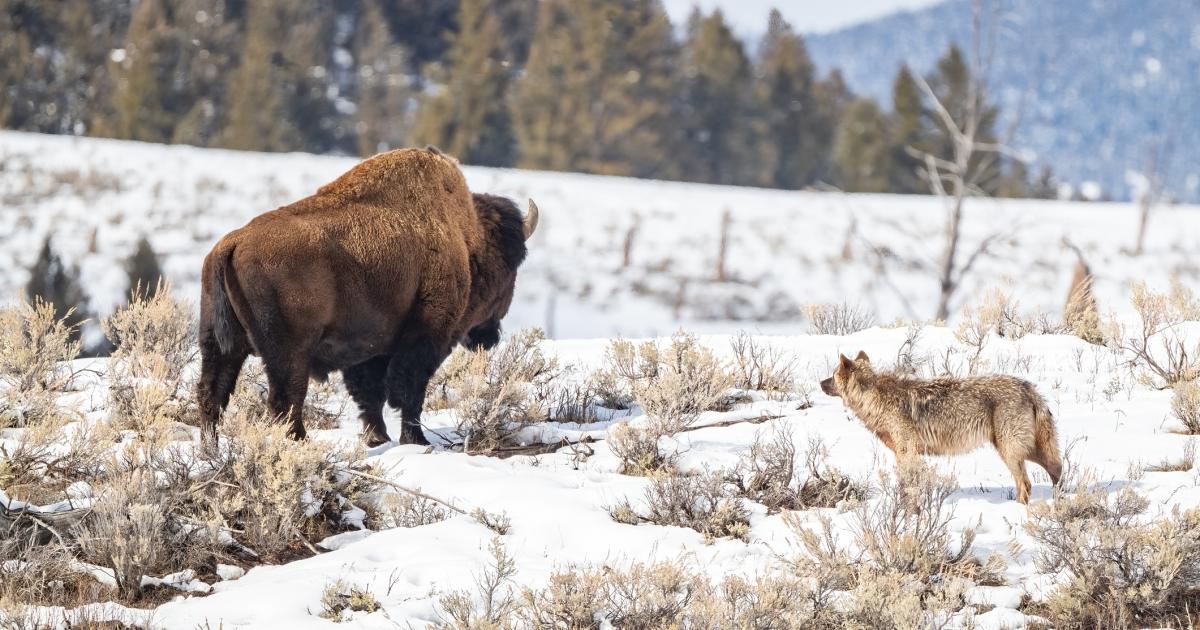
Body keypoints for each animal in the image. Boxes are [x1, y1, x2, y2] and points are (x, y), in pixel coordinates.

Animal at [196, 147, 538, 446]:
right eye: (511, 266)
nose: (489, 335)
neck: (465, 239)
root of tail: (232, 243)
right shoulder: (424, 336)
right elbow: (408, 390)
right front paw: (415, 440)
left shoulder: (368, 347)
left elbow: (370, 394)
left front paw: (378, 438)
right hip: (289, 350)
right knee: (285, 399)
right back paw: (302, 444)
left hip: (219, 344)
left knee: (212, 395)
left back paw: (212, 451)